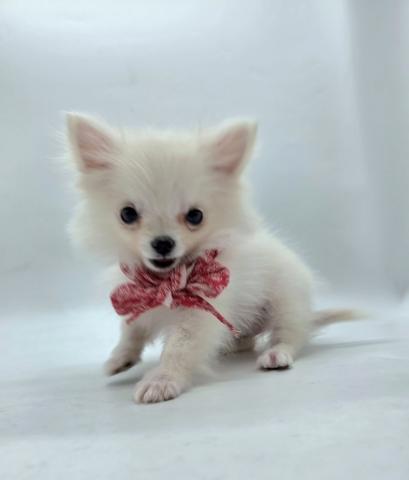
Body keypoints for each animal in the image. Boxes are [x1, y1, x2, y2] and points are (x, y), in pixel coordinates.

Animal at [66, 114, 356, 403]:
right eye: (127, 214)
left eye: (195, 216)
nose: (163, 242)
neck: (164, 281)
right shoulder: (137, 299)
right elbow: (131, 330)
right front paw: (120, 358)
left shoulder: (200, 315)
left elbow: (179, 347)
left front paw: (163, 379)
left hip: (287, 300)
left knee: (291, 334)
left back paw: (277, 354)